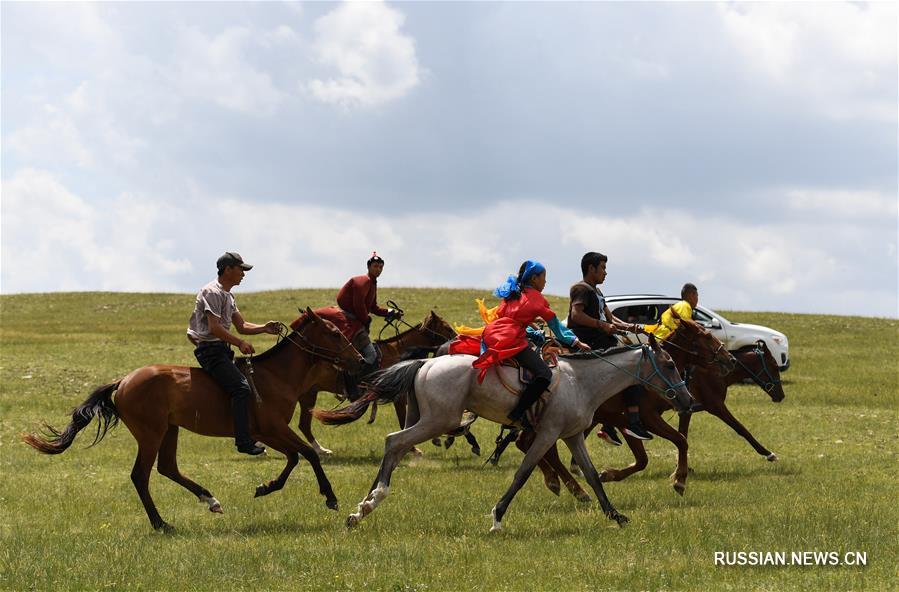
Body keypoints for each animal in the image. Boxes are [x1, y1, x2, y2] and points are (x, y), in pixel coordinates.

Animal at [22, 310, 366, 532]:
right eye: (335, 333)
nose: (360, 361)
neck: (277, 376)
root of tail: (123, 381)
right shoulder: (271, 430)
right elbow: (306, 454)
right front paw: (330, 497)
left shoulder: (272, 433)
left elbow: (295, 456)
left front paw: (266, 487)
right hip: (151, 433)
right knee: (140, 476)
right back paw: (162, 524)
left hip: (170, 430)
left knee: (167, 468)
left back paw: (210, 500)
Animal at [300, 308, 460, 456]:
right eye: (447, 327)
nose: (457, 341)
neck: (399, 353)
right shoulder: (399, 398)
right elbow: (404, 421)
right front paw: (414, 449)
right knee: (304, 425)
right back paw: (320, 450)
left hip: (308, 394)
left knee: (303, 425)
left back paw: (320, 450)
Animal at [312, 336, 692, 536]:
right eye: (670, 365)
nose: (687, 400)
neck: (581, 382)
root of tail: (426, 363)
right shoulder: (546, 435)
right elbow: (523, 474)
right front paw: (497, 517)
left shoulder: (572, 437)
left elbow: (592, 477)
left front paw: (615, 515)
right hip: (439, 420)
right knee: (394, 441)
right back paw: (369, 503)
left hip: (426, 418)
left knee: (395, 446)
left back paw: (363, 508)